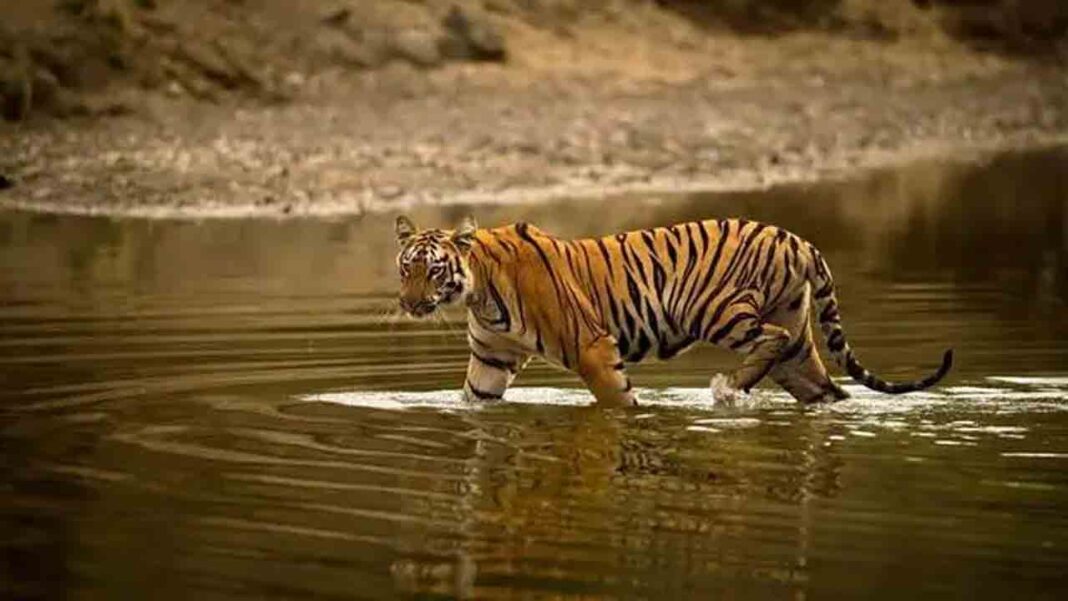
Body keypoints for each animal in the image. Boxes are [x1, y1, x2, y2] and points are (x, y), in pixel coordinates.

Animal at [394, 215, 953, 406]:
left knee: (767, 340)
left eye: (434, 271)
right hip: (797, 342)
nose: (409, 303)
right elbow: (474, 399)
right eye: (405, 269)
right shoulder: (492, 358)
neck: (479, 292)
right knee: (825, 389)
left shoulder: (590, 345)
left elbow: (618, 401)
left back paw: (728, 388)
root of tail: (798, 239)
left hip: (718, 309)